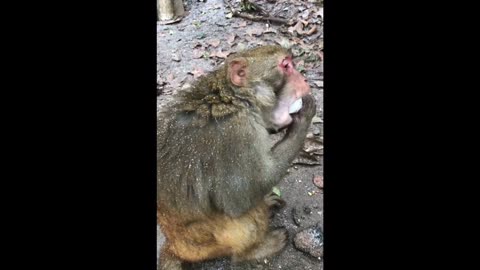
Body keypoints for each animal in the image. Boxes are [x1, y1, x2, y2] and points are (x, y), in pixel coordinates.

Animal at [158, 45, 316, 268]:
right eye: (286, 66)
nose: (304, 80)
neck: (237, 100)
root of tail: (175, 246)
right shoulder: (237, 135)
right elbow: (239, 198)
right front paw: (303, 119)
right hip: (209, 245)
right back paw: (253, 251)